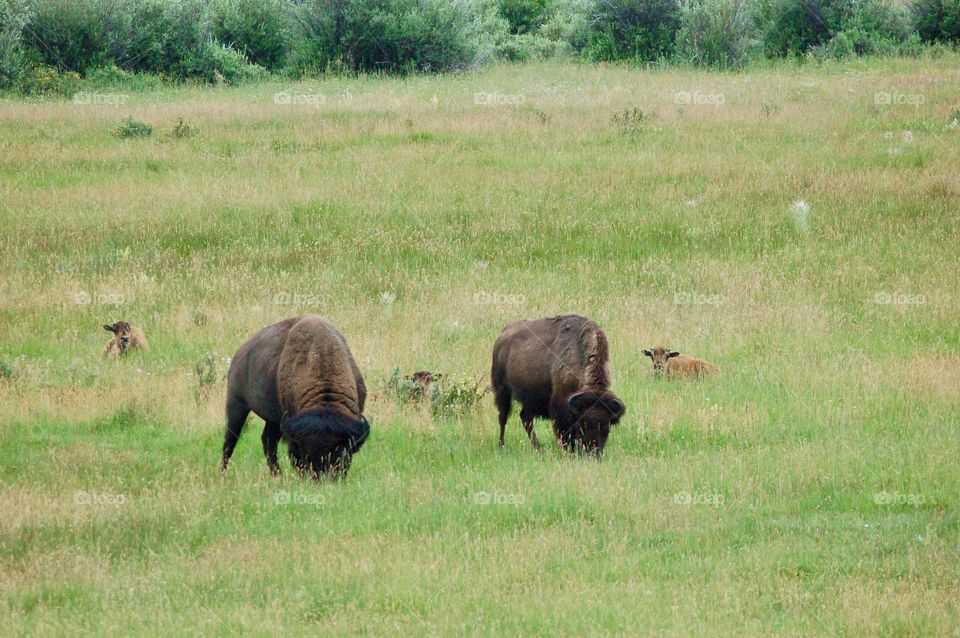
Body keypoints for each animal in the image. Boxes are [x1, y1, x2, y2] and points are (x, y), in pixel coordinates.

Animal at [219, 315, 370, 479]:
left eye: (341, 452)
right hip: (237, 405)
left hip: (273, 419)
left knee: (268, 441)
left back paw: (277, 475)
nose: (322, 477)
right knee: (230, 441)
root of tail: (239, 353)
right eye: (305, 453)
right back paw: (222, 474)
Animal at [491, 314, 626, 457]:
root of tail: (503, 335)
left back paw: (538, 448)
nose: (593, 453)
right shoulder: (560, 407)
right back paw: (502, 445)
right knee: (503, 418)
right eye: (581, 426)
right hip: (502, 390)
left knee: (525, 418)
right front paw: (569, 452)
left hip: (529, 400)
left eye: (607, 428)